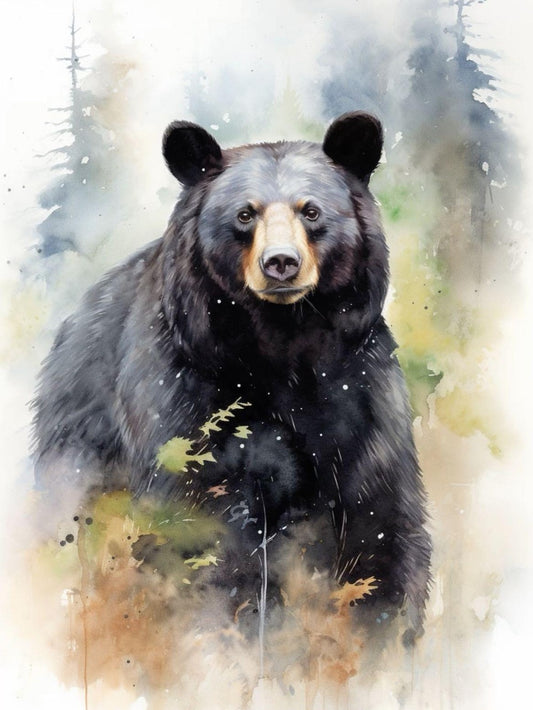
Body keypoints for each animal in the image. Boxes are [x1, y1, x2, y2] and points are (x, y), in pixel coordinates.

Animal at [33, 111, 431, 642]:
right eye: (245, 215)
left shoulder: (360, 385)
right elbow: (196, 515)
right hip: (79, 434)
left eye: (311, 211)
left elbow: (378, 513)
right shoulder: (185, 384)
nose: (280, 262)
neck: (283, 345)